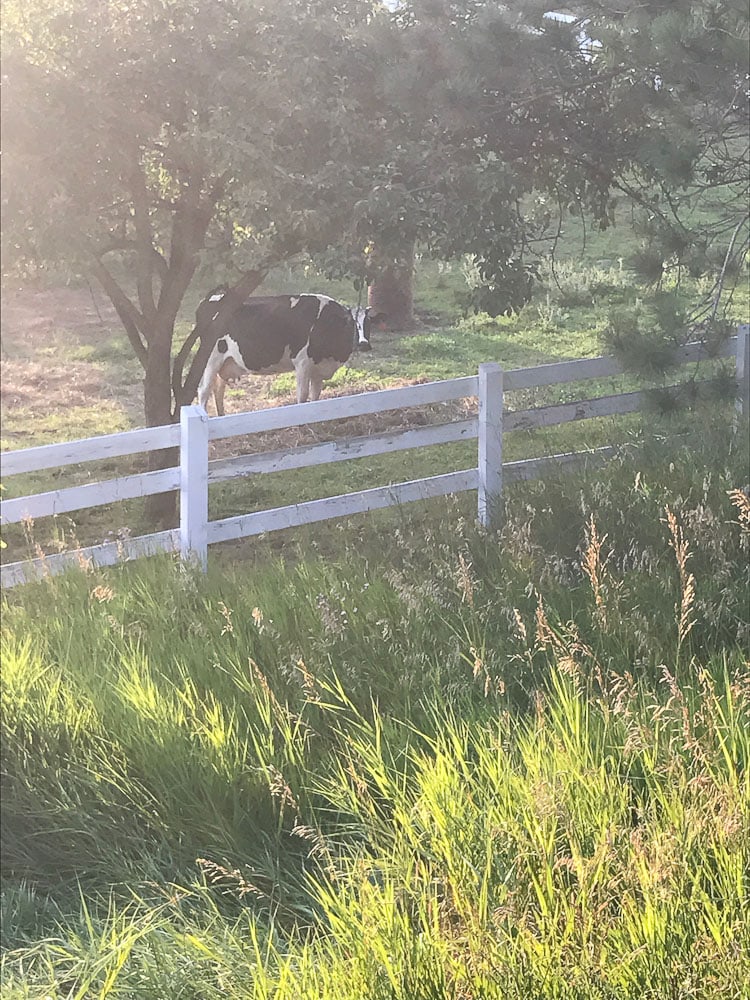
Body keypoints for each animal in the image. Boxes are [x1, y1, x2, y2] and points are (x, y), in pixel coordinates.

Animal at [197, 290, 384, 414]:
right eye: (350, 323)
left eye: (369, 323)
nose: (363, 344)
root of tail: (210, 298)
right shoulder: (302, 362)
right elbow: (302, 396)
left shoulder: (319, 369)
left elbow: (315, 397)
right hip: (210, 358)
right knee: (204, 390)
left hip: (226, 361)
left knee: (218, 390)